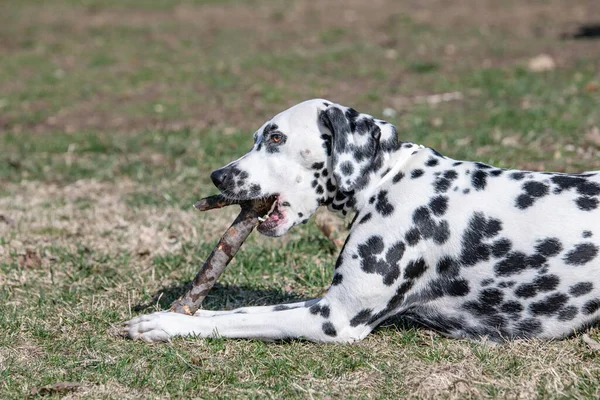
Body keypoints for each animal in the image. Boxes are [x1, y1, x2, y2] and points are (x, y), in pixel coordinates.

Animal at [124, 98, 600, 342]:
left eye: (276, 138)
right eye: (257, 137)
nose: (217, 176)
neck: (389, 179)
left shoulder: (334, 317)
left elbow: (241, 320)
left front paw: (168, 324)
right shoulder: (326, 300)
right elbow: (242, 309)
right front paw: (185, 313)